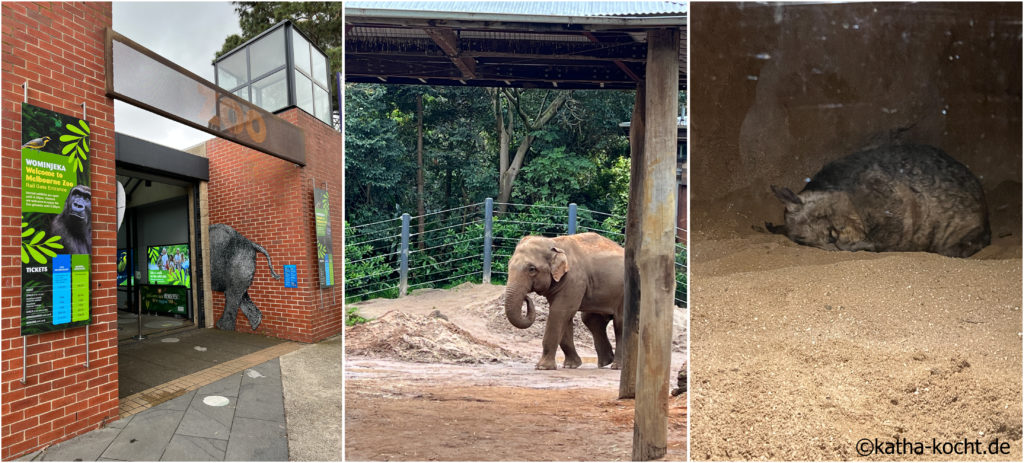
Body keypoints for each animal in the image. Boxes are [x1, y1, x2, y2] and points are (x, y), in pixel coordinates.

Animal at [501, 233, 622, 370]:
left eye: (532, 269)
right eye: (509, 264)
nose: (526, 298)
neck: (554, 242)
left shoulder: (574, 280)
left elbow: (559, 312)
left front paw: (542, 367)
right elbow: (564, 317)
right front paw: (571, 365)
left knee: (619, 323)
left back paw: (616, 366)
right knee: (590, 319)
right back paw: (605, 362)